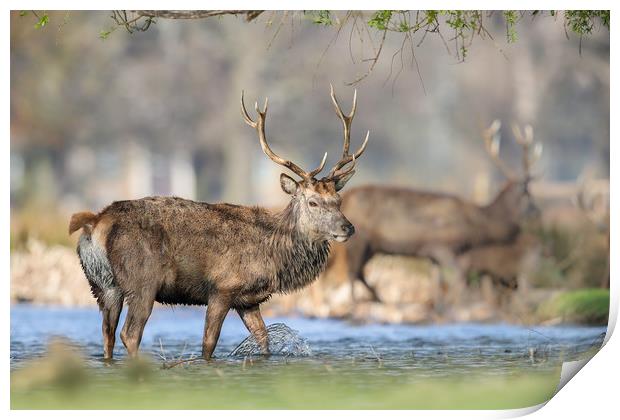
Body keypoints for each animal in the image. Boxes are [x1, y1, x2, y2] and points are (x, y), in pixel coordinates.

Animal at [69, 86, 368, 360]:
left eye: (338, 199)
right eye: (313, 202)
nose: (348, 227)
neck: (273, 253)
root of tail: (96, 223)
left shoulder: (248, 301)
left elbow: (263, 340)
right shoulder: (222, 288)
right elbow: (208, 344)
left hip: (103, 286)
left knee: (107, 334)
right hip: (142, 281)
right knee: (129, 333)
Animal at [334, 120, 544, 304]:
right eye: (527, 193)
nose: (538, 212)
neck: (475, 227)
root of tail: (347, 197)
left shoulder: (432, 254)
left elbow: (437, 281)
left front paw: (439, 304)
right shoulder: (443, 246)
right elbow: (459, 277)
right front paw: (458, 303)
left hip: (372, 246)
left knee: (359, 272)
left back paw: (379, 299)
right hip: (359, 241)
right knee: (352, 272)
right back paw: (356, 303)